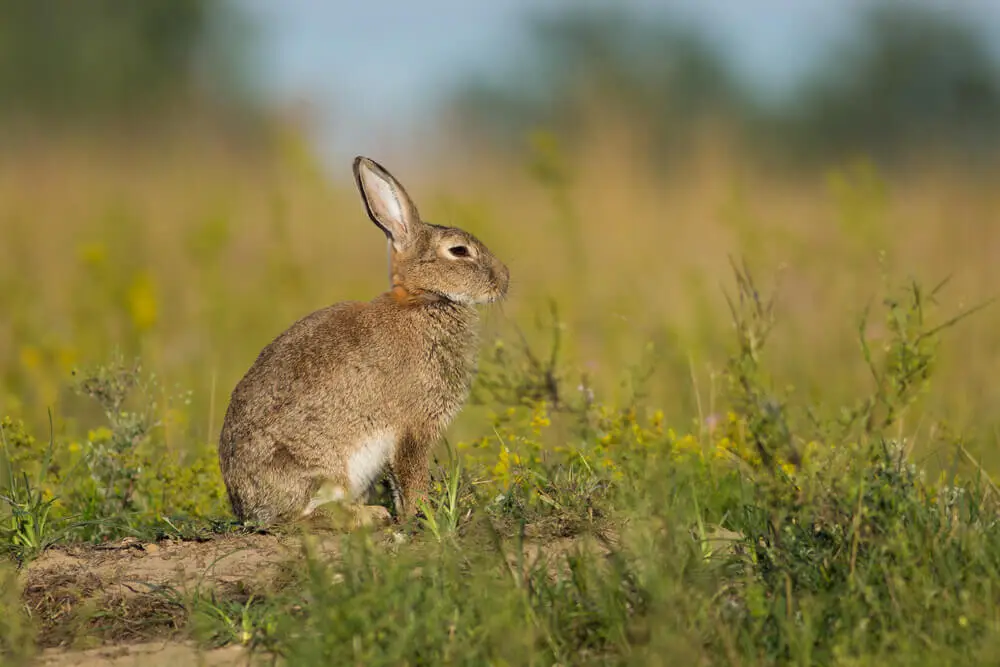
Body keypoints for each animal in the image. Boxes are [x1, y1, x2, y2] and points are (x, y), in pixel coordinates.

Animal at [218, 156, 510, 529]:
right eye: (459, 251)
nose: (504, 279)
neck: (425, 299)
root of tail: (246, 507)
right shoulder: (413, 427)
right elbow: (411, 474)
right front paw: (419, 516)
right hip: (320, 469)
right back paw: (371, 515)